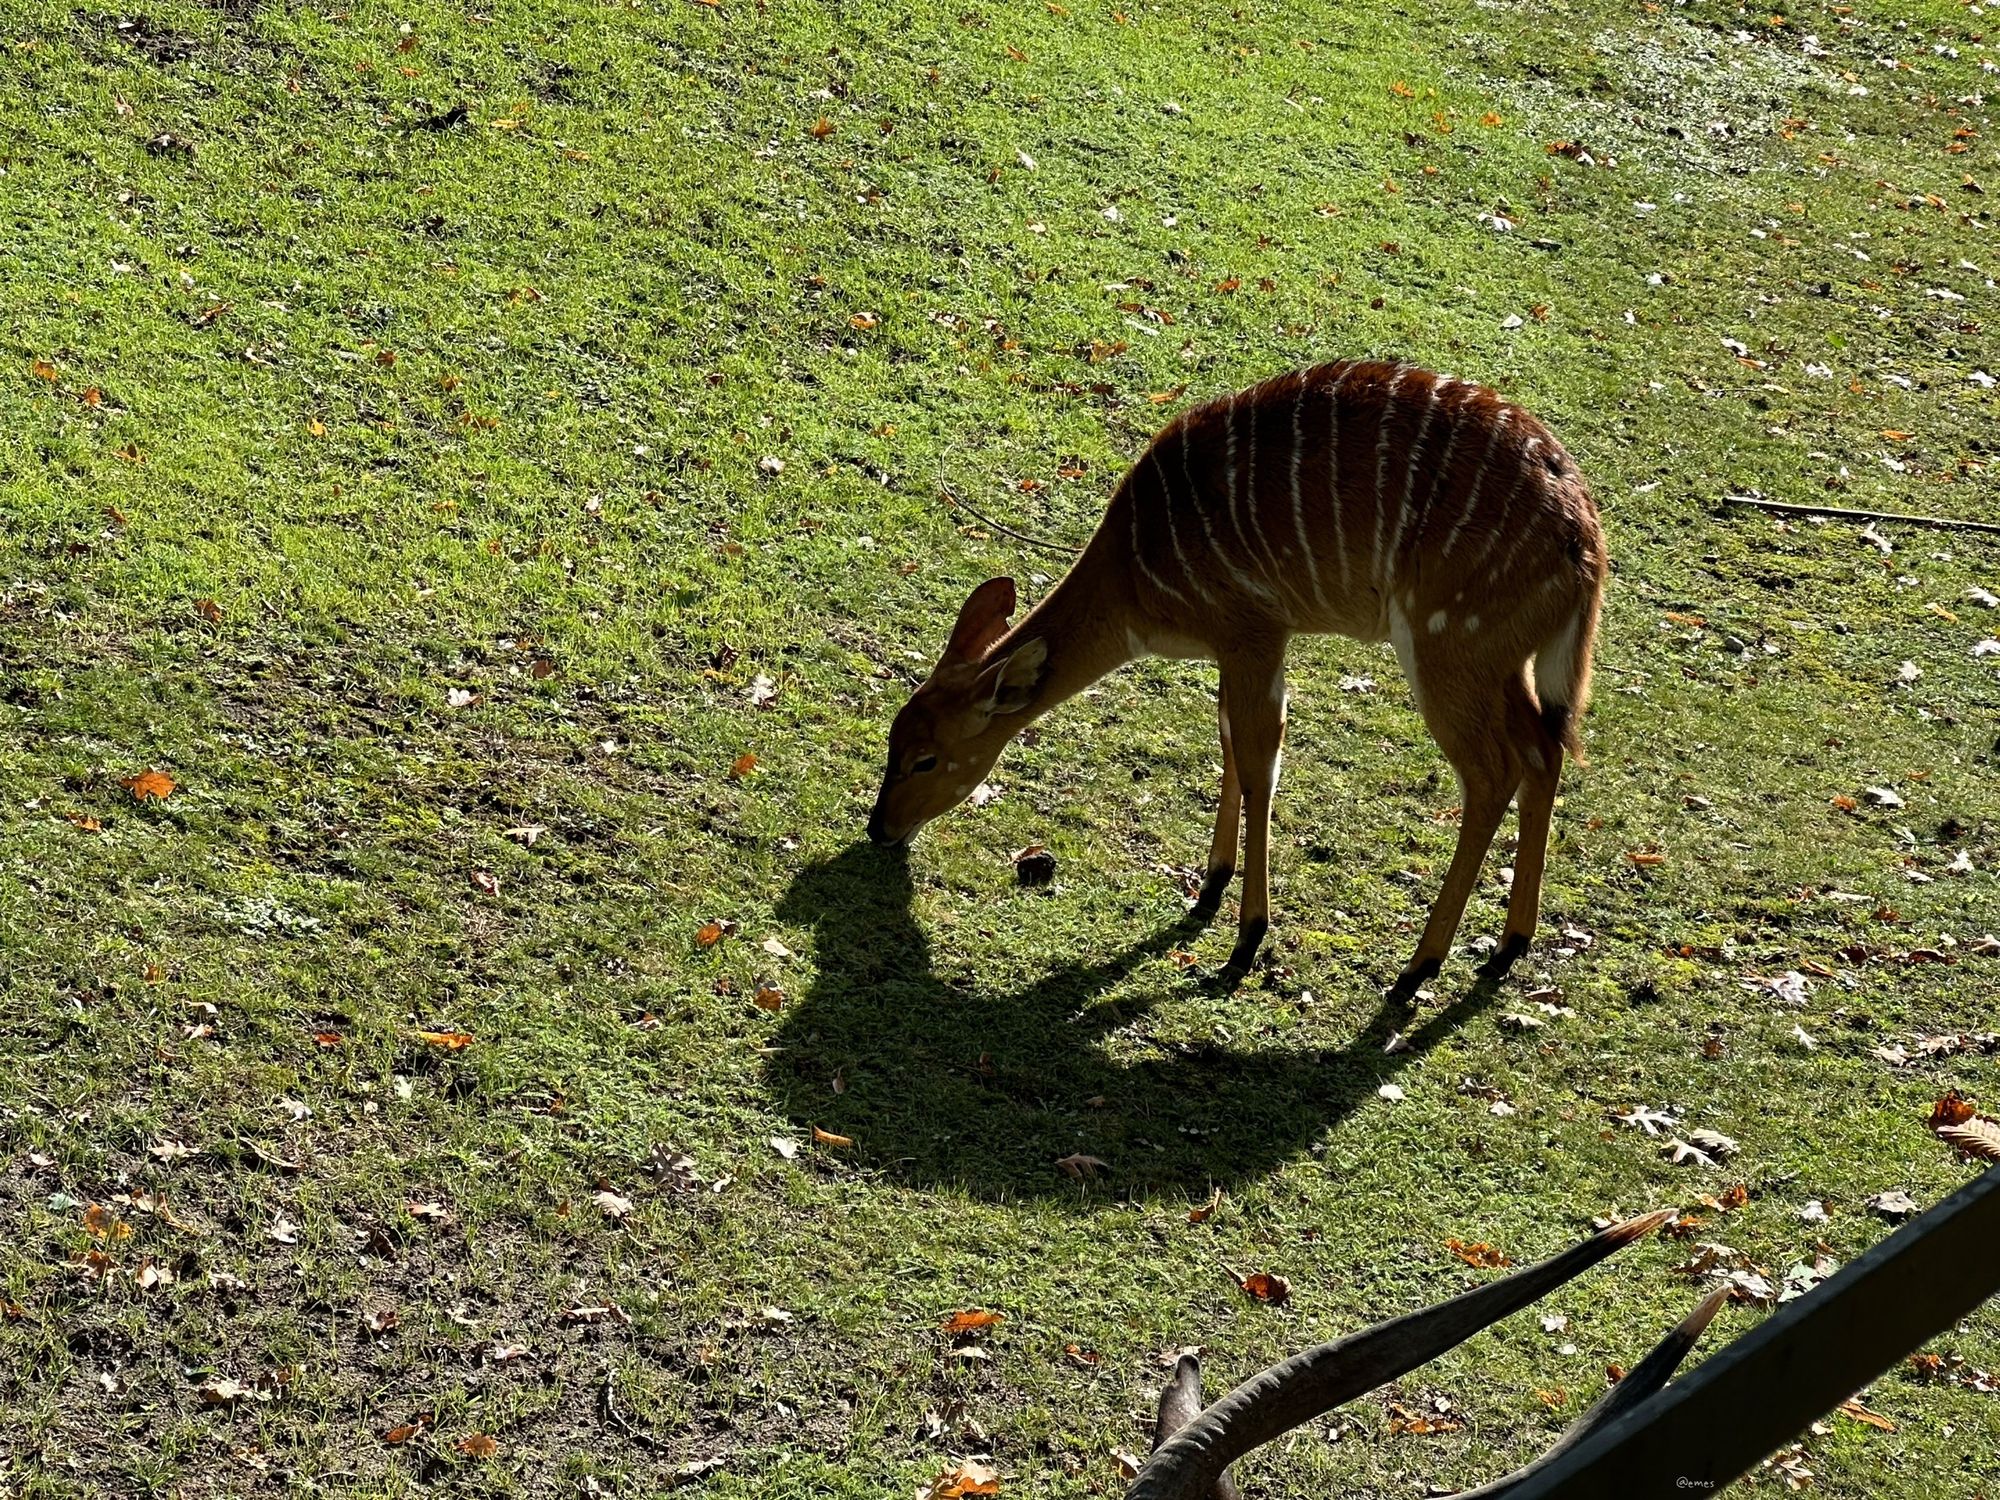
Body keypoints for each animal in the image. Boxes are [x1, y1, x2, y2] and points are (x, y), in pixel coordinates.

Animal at [872, 360, 1608, 1004]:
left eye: (925, 758)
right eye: (891, 743)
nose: (879, 830)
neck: (1136, 580)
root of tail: (1584, 541)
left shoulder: (1255, 631)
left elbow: (1260, 763)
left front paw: (1247, 938)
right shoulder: (1237, 648)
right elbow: (1229, 740)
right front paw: (1211, 885)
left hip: (1447, 647)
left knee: (1492, 773)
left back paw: (1417, 970)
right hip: (1499, 662)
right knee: (1543, 751)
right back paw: (1508, 946)